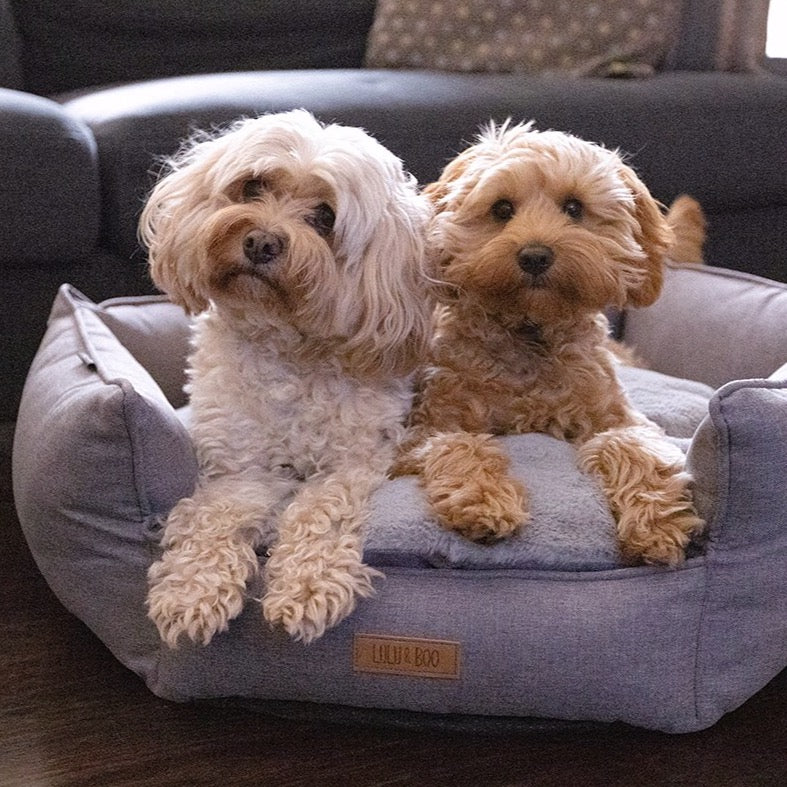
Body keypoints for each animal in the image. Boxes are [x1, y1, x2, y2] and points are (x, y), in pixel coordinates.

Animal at [143, 109, 438, 648]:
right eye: (252, 186)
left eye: (325, 217)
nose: (261, 242)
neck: (286, 351)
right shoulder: (238, 466)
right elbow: (216, 513)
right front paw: (193, 589)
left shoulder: (356, 462)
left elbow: (319, 510)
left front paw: (309, 584)